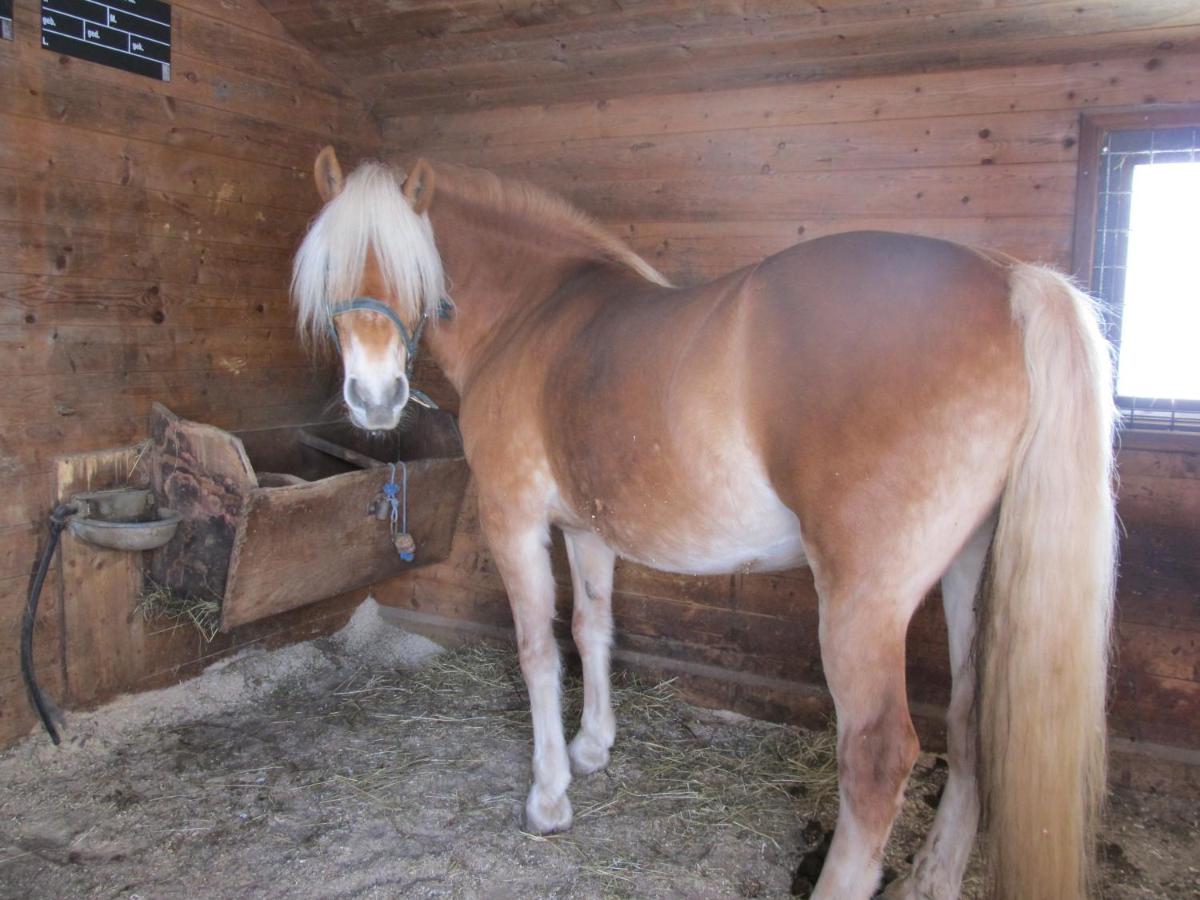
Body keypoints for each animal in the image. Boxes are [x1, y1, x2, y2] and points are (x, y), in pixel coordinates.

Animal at [290, 148, 1113, 900]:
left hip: (864, 600)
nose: (374, 400)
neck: (532, 314)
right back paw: (931, 878)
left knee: (877, 759)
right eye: (329, 269)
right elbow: (592, 629)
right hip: (972, 568)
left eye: (410, 267)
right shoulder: (587, 529)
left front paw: (549, 795)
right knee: (973, 722)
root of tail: (1009, 281)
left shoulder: (513, 518)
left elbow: (537, 651)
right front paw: (592, 747)